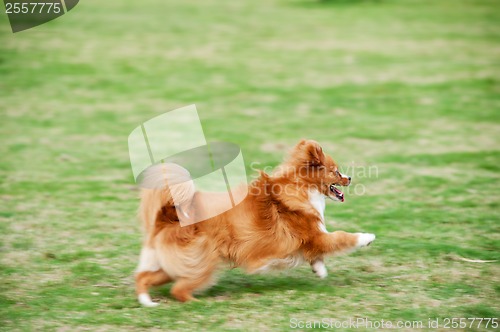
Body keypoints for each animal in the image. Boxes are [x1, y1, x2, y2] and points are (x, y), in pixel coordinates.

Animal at [134, 138, 376, 306]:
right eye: (336, 171)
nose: (350, 178)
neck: (302, 188)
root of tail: (167, 215)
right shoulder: (316, 235)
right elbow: (342, 237)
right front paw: (368, 237)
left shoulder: (311, 241)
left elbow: (316, 256)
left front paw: (319, 271)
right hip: (201, 262)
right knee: (179, 290)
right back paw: (198, 304)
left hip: (172, 265)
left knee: (143, 278)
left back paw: (148, 302)